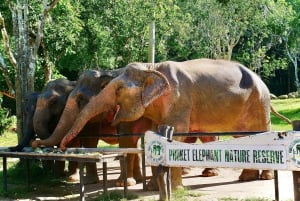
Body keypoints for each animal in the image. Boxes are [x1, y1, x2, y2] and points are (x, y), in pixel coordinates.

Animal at [58, 58, 274, 192]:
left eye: (118, 90)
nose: (62, 147)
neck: (152, 67)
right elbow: (154, 135)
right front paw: (153, 187)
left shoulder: (179, 99)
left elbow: (176, 134)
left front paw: (173, 189)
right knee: (242, 136)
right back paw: (243, 177)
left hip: (259, 104)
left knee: (261, 134)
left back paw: (264, 178)